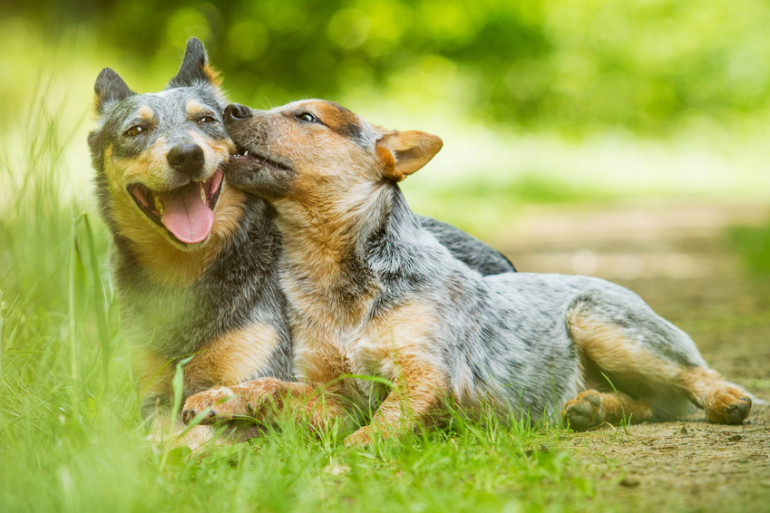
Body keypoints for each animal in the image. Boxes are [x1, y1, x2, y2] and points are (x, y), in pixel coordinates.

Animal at [87, 41, 512, 448]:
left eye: (206, 120)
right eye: (135, 131)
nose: (187, 155)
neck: (186, 278)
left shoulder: (261, 378)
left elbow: (189, 437)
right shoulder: (154, 397)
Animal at [182, 100, 752, 444]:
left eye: (306, 117)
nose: (228, 108)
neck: (334, 282)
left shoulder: (426, 374)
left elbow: (382, 425)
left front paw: (349, 460)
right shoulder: (335, 395)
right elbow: (271, 388)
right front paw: (218, 399)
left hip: (604, 325)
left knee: (694, 373)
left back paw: (727, 401)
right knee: (649, 404)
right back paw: (590, 407)